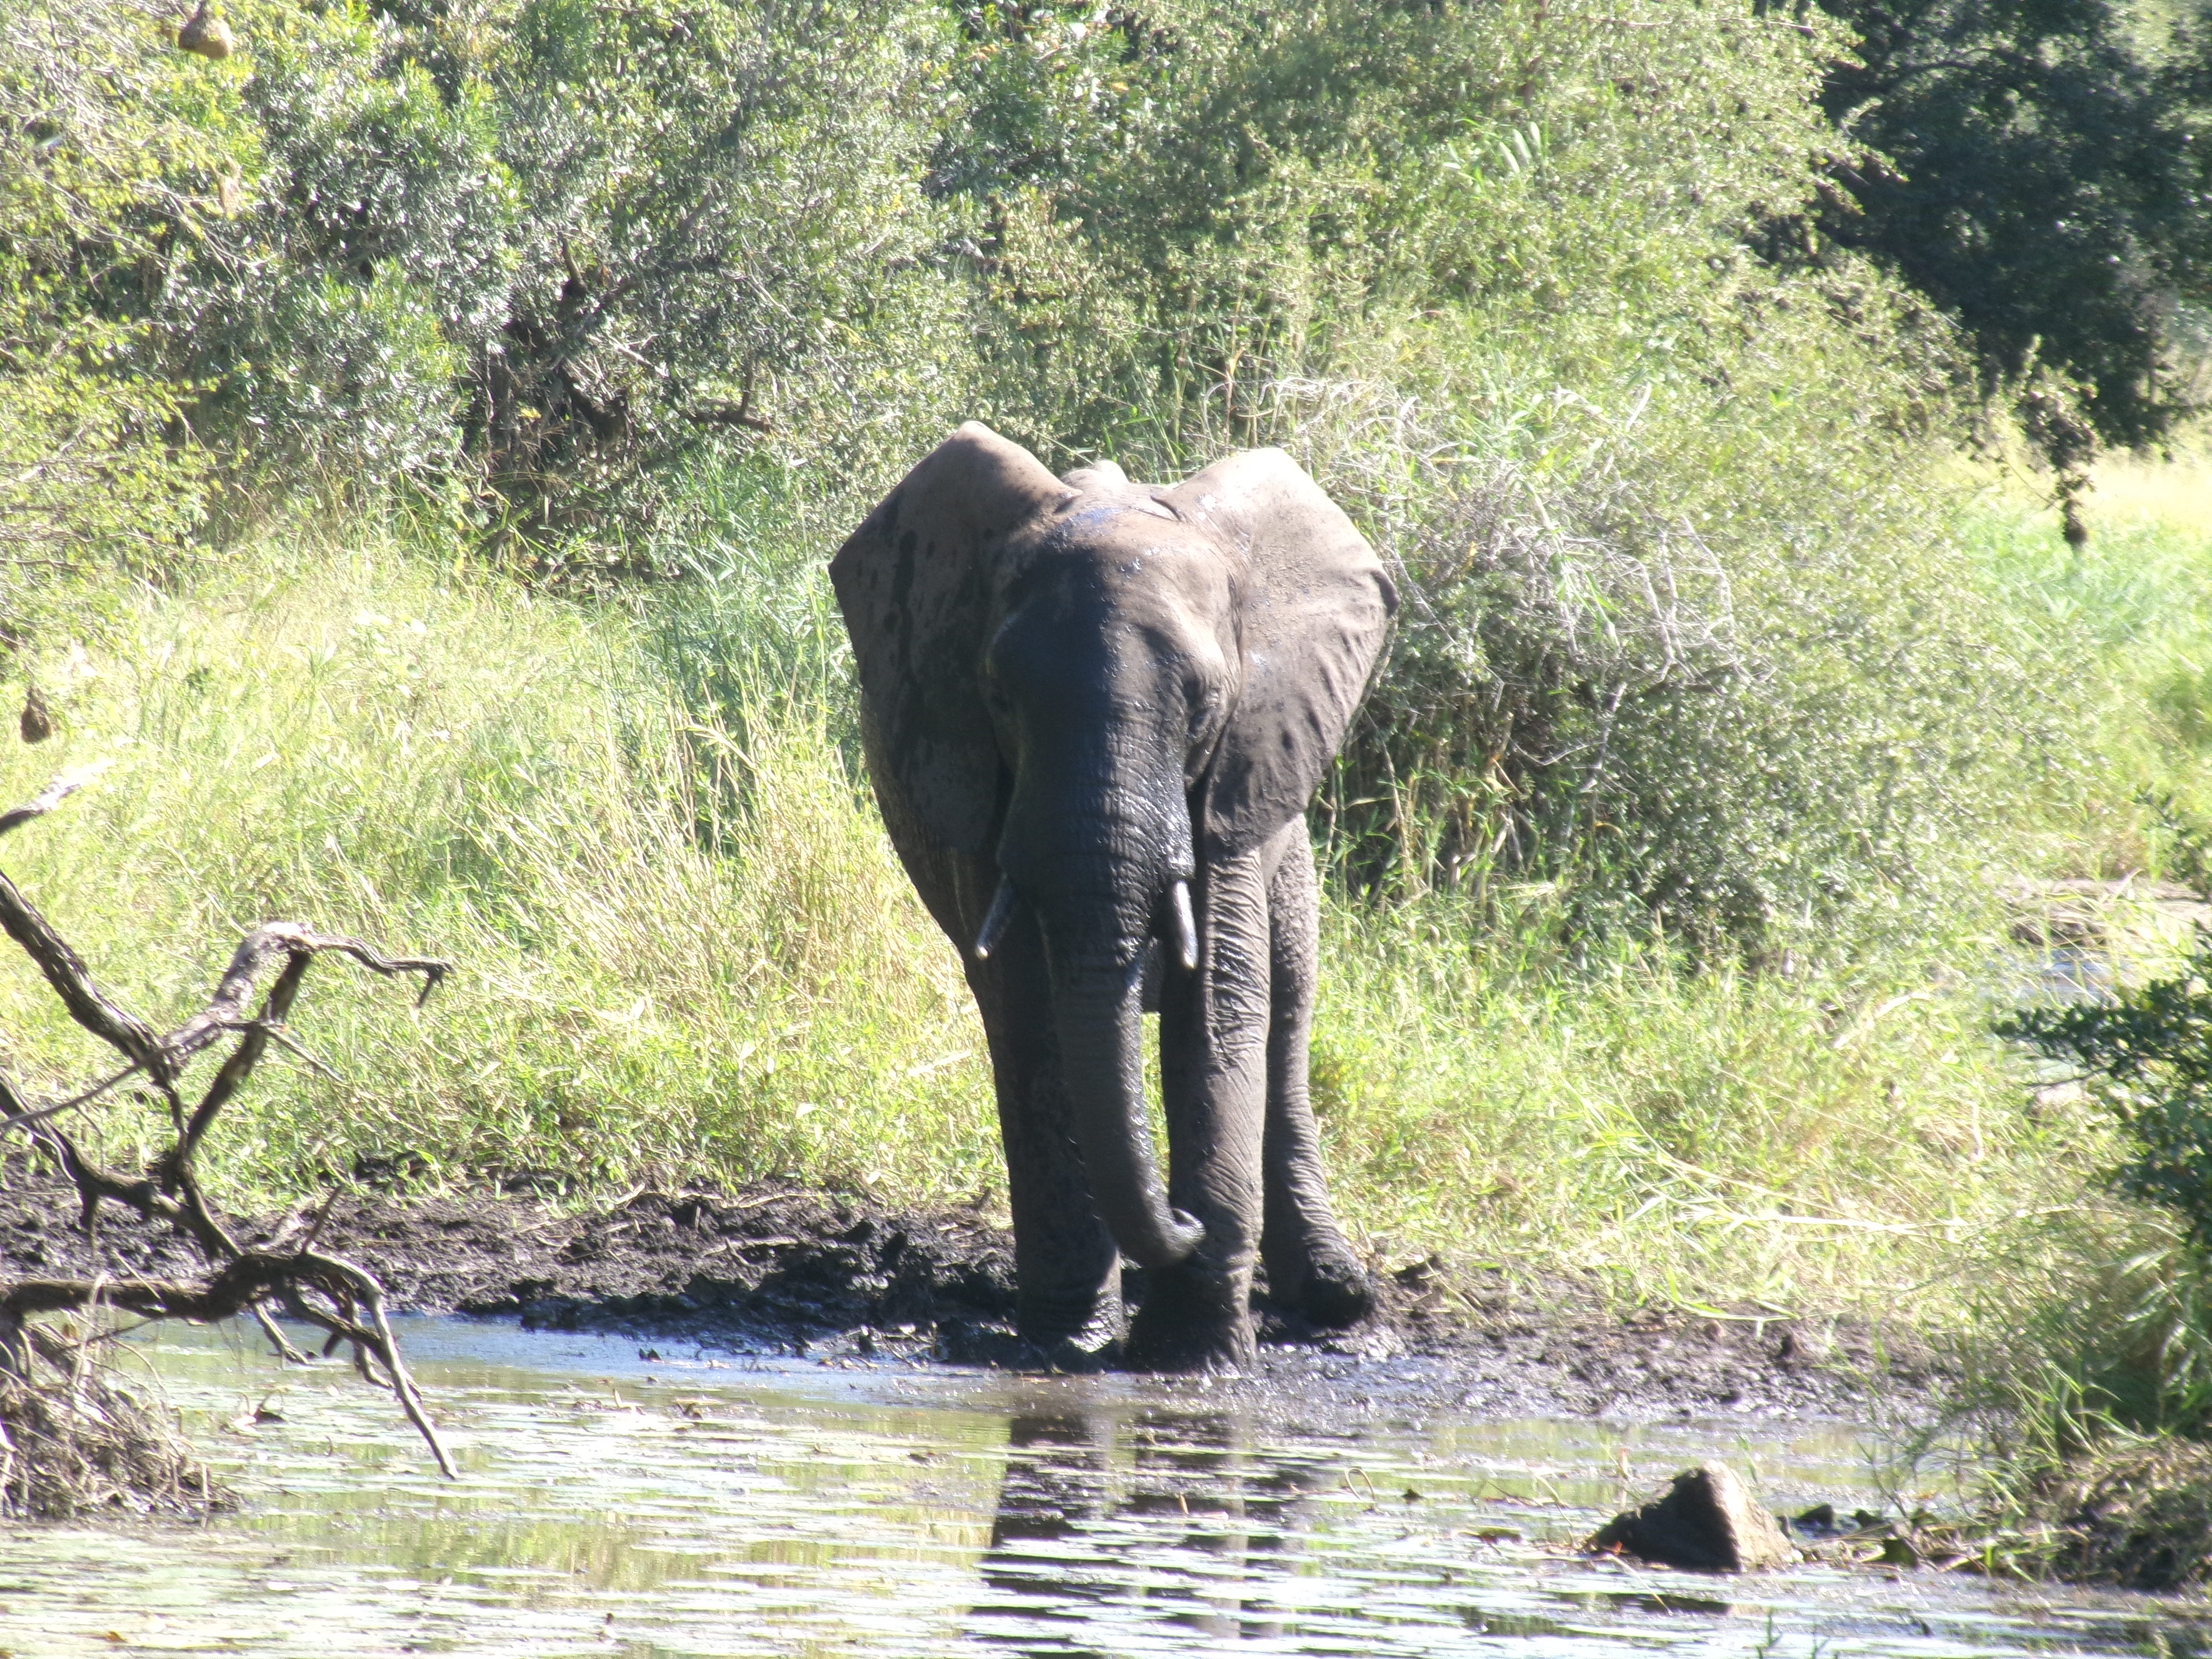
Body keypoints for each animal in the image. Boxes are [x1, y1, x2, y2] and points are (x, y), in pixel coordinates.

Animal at [829, 422, 1396, 1372]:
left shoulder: (1234, 782)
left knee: (1286, 1020)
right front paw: (1067, 1344)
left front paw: (1193, 1358)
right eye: (999, 697)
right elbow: (1031, 1012)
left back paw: (1335, 1298)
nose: (1182, 1218)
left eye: (1205, 705)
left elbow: (1221, 1007)